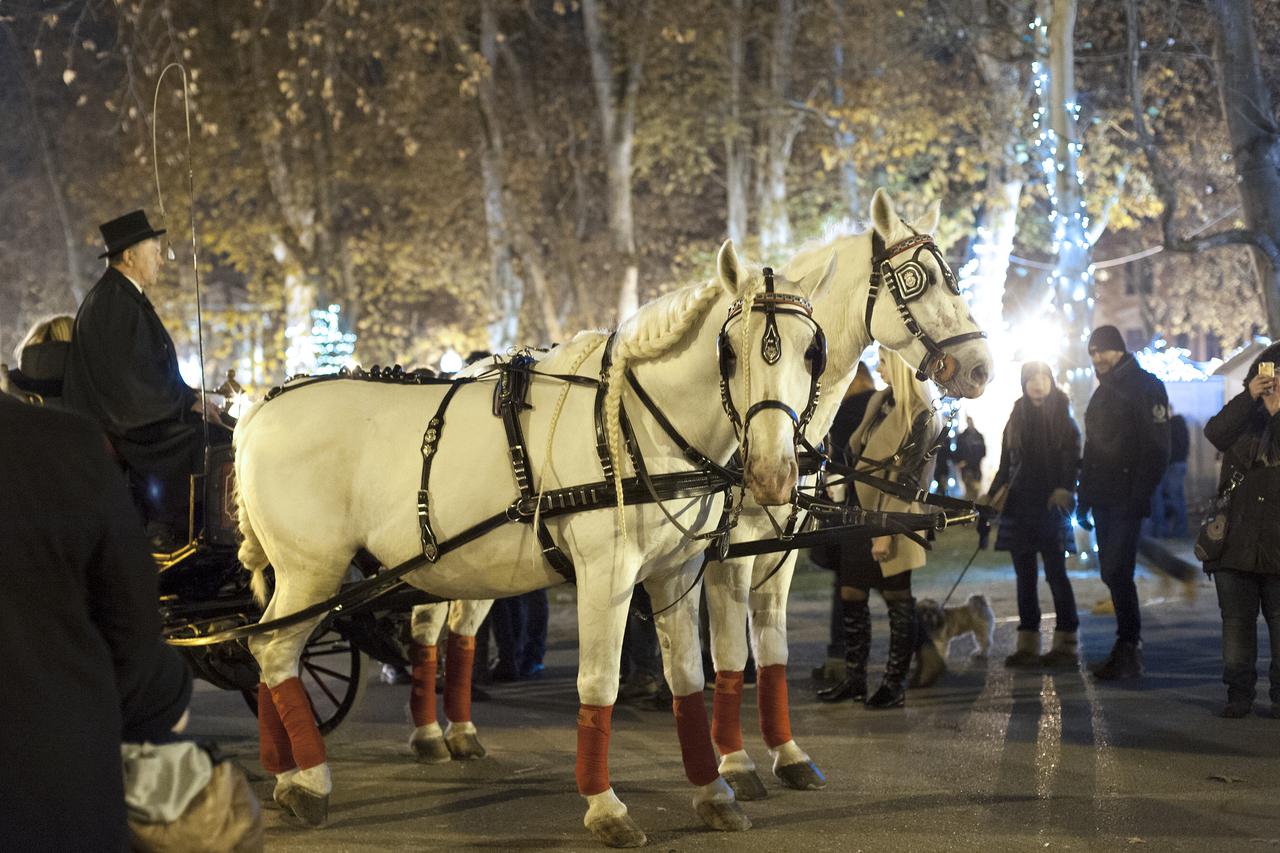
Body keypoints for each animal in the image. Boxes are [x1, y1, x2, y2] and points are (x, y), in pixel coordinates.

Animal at [235, 240, 839, 845]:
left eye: (813, 352)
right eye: (729, 352)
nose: (773, 474)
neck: (636, 423)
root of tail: (260, 407)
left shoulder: (676, 572)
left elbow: (688, 678)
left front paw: (714, 791)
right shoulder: (607, 574)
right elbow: (598, 683)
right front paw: (605, 805)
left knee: (263, 647)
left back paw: (282, 771)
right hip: (314, 570)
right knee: (273, 650)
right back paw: (308, 780)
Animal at [696, 185, 993, 788]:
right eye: (918, 280)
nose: (981, 368)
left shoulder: (778, 549)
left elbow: (769, 646)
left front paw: (783, 754)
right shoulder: (725, 554)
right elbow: (728, 652)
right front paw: (733, 762)